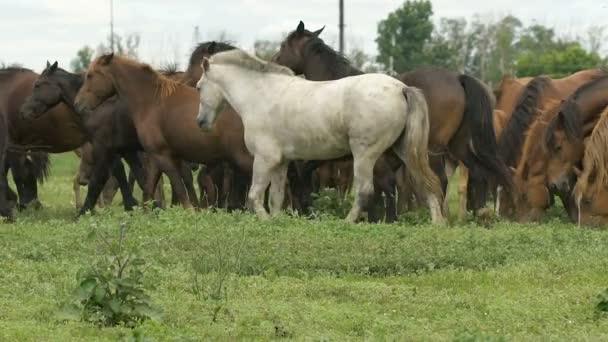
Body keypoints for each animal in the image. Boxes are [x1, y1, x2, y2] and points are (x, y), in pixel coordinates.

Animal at [74, 53, 254, 210]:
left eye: (90, 75)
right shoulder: (156, 157)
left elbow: (180, 190)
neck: (151, 101)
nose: (77, 104)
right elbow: (148, 191)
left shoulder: (164, 156)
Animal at [197, 48, 444, 224]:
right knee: (427, 182)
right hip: (404, 150)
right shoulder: (281, 163)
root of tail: (401, 88)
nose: (200, 122)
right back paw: (437, 223)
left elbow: (254, 196)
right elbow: (276, 198)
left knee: (365, 191)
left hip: (365, 155)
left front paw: (265, 221)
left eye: (199, 87)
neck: (261, 95)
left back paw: (347, 222)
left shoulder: (264, 160)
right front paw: (276, 223)